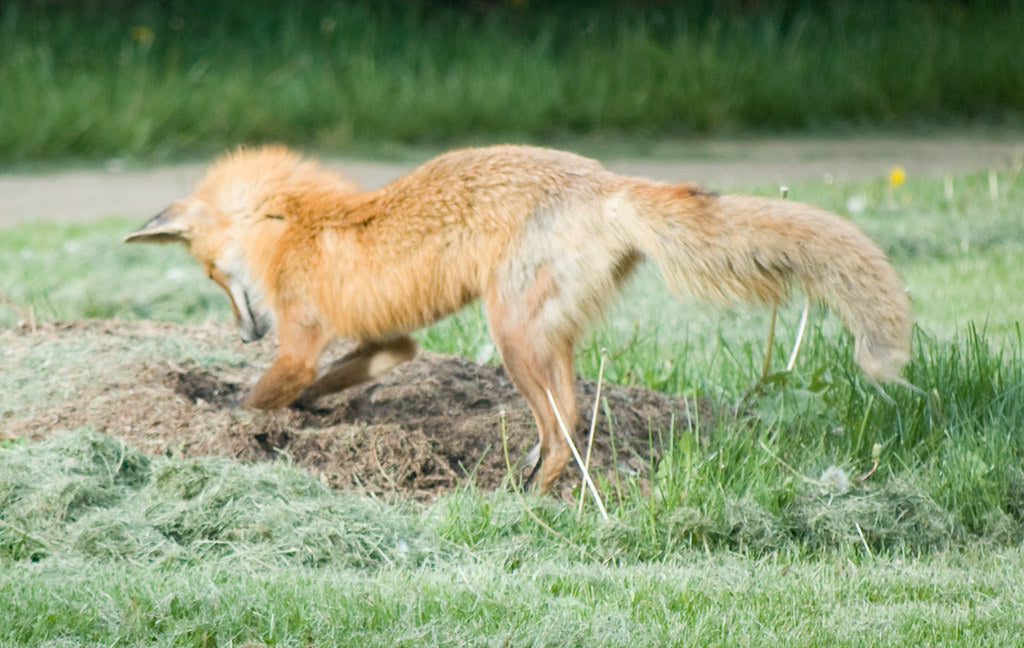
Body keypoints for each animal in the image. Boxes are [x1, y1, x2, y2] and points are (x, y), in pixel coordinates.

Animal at [125, 144, 911, 491]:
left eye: (213, 276)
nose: (243, 334)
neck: (296, 220)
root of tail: (607, 181)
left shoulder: (297, 343)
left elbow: (259, 395)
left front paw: (232, 423)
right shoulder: (392, 342)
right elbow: (335, 379)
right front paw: (313, 413)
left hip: (512, 336)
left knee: (563, 429)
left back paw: (526, 502)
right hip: (546, 337)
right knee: (574, 417)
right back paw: (531, 483)